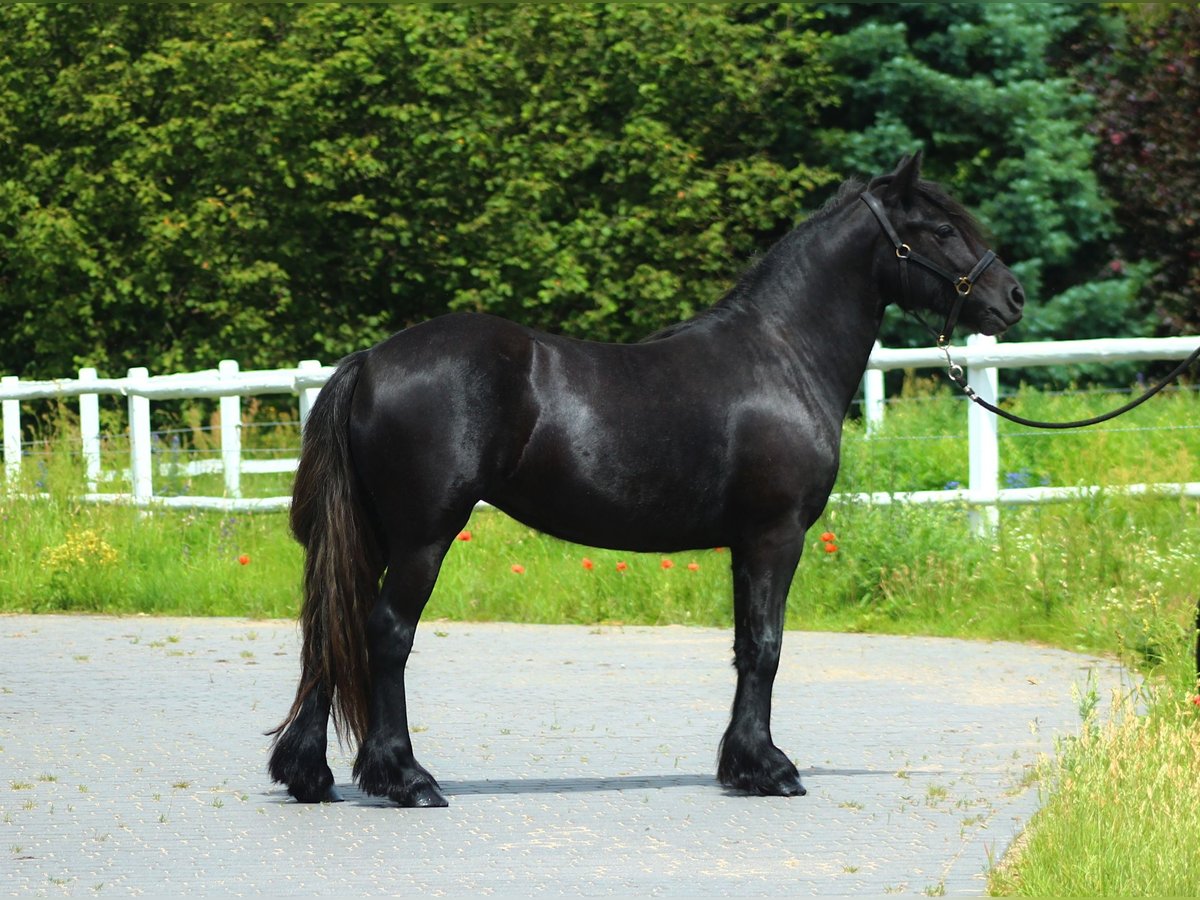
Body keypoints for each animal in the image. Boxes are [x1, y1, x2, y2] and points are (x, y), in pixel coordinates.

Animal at [270, 154, 1022, 811]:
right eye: (942, 228)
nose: (1010, 297)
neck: (781, 355)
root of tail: (371, 360)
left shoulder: (745, 544)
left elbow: (747, 645)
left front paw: (743, 764)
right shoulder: (775, 536)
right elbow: (767, 646)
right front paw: (769, 768)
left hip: (374, 534)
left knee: (332, 626)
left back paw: (309, 774)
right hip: (424, 538)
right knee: (386, 632)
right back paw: (406, 778)